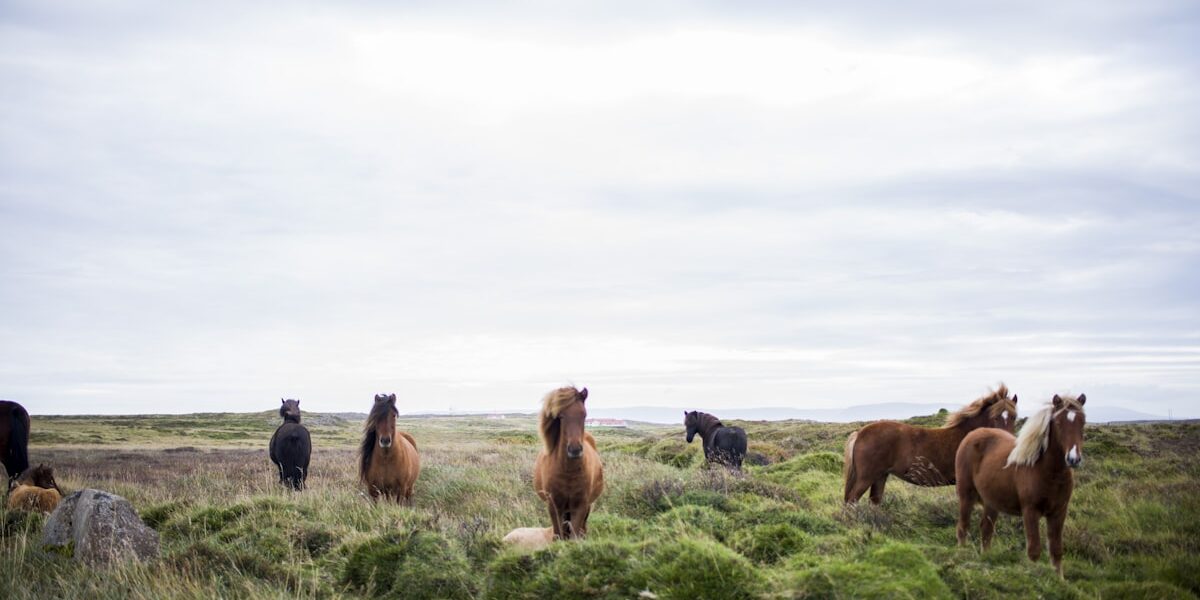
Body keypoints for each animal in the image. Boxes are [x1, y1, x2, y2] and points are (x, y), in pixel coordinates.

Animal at [533, 386, 604, 540]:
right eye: (561, 416)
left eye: (584, 415)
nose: (575, 450)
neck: (568, 472)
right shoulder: (554, 506)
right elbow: (558, 535)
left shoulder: (580, 506)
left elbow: (574, 536)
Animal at [843, 385, 1017, 504]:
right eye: (995, 417)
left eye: (1014, 416)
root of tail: (860, 433)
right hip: (866, 477)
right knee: (852, 500)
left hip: (880, 476)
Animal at [956, 394, 1086, 577]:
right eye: (1059, 423)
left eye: (1083, 422)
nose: (1073, 459)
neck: (1049, 472)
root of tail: (972, 434)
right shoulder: (1030, 511)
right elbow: (1034, 550)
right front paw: (1034, 576)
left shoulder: (1059, 512)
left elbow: (1056, 550)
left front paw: (1059, 580)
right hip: (966, 495)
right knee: (963, 526)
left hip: (991, 502)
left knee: (986, 529)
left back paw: (985, 559)